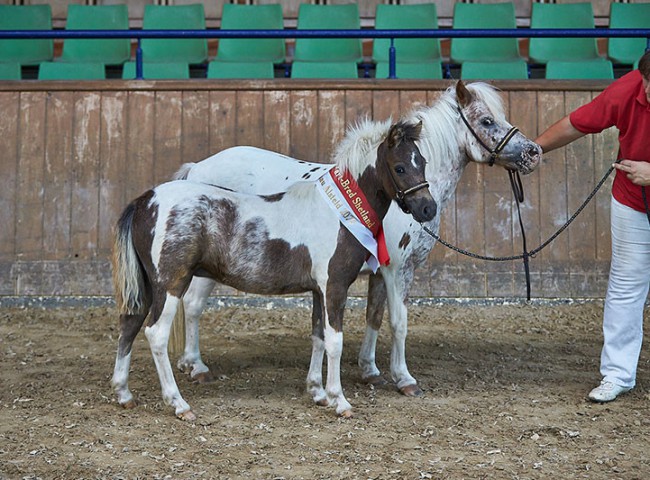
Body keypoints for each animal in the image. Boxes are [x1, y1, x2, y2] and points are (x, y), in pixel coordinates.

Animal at [111, 120, 437, 421]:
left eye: (422, 162)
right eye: (400, 167)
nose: (427, 209)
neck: (340, 212)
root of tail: (146, 201)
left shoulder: (318, 290)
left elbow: (318, 337)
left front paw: (318, 393)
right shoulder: (334, 286)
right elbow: (335, 342)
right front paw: (339, 400)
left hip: (148, 285)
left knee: (129, 324)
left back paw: (124, 394)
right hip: (170, 284)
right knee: (156, 334)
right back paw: (178, 403)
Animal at [171, 80, 542, 398]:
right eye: (487, 120)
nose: (533, 152)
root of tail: (197, 167)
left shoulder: (380, 271)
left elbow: (374, 317)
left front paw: (370, 370)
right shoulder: (398, 270)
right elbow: (399, 322)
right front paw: (404, 378)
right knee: (193, 306)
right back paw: (198, 366)